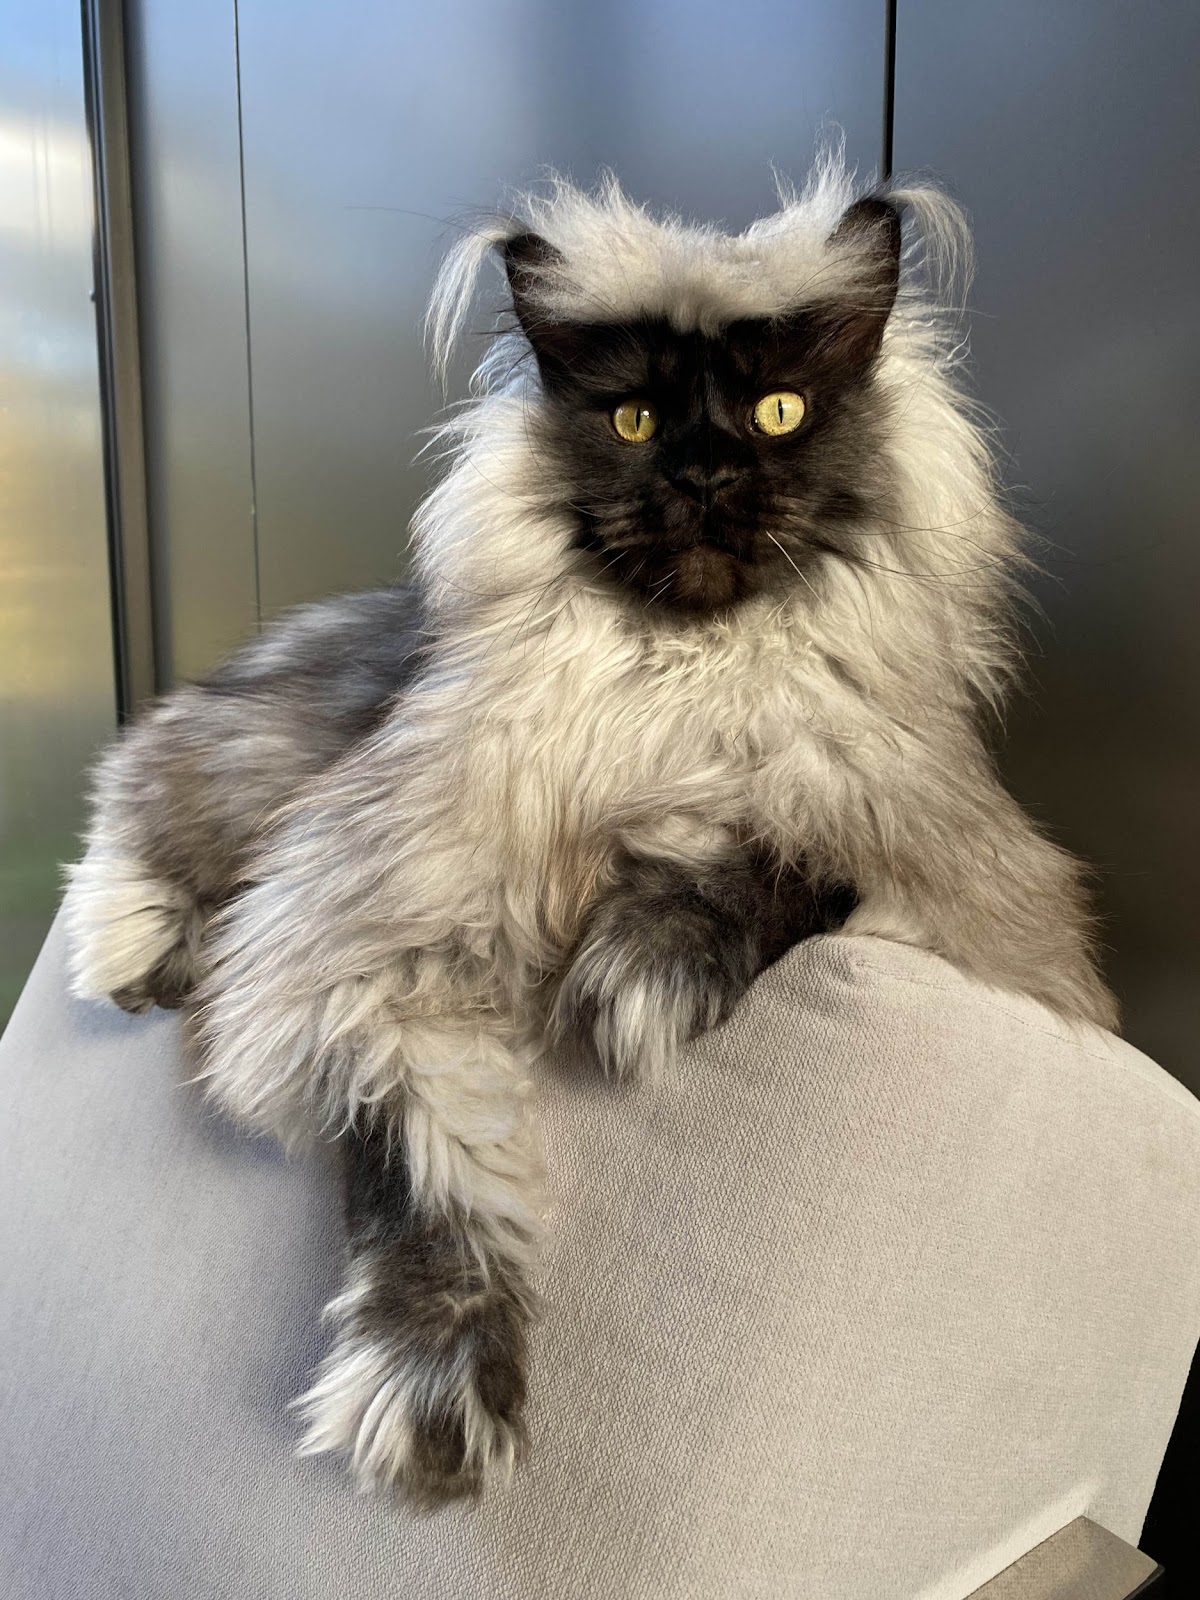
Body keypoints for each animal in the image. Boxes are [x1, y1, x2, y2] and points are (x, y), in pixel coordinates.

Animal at [63, 156, 1120, 1504]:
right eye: (633, 422)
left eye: (778, 411)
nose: (705, 477)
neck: (679, 697)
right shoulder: (371, 938)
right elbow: (434, 1175)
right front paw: (437, 1400)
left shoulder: (918, 855)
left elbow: (780, 860)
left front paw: (645, 966)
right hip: (260, 760)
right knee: (139, 798)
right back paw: (137, 953)